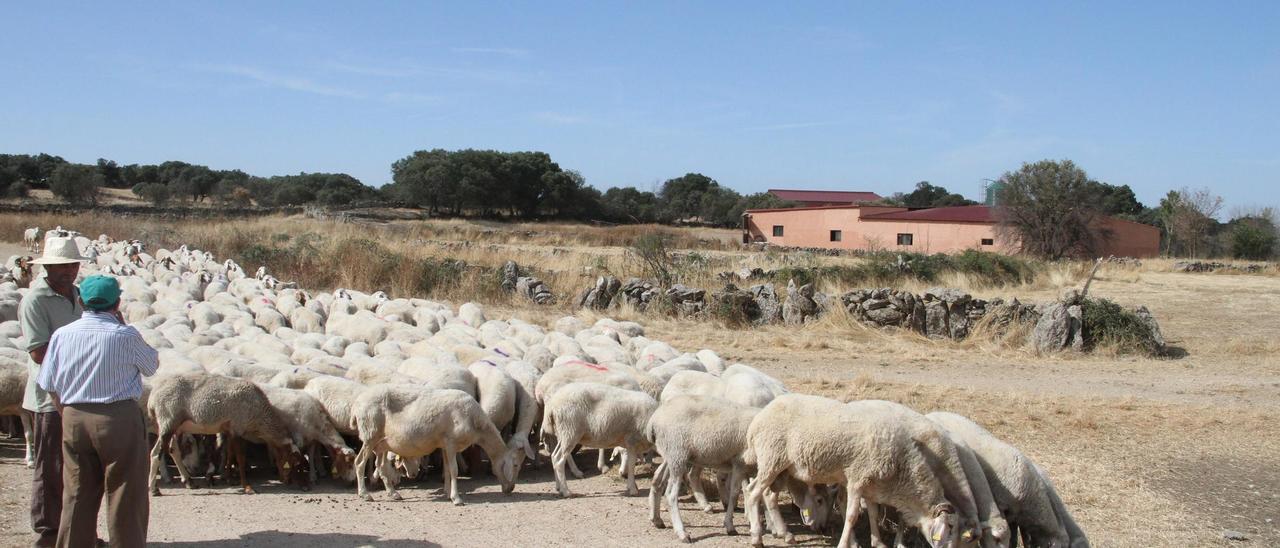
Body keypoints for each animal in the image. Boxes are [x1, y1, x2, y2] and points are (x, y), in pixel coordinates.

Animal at [147, 373, 304, 495]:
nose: (301, 486)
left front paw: (229, 478)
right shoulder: (238, 428)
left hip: (175, 426)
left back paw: (189, 482)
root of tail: (153, 397)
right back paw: (154, 489)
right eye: (293, 462)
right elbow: (240, 457)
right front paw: (247, 487)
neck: (260, 416)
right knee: (156, 453)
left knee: (173, 451)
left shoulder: (229, 430)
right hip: (167, 421)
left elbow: (229, 453)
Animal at [351, 385, 521, 504]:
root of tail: (357, 403)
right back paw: (365, 494)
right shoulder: (451, 443)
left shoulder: (444, 445)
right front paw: (456, 498)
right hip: (370, 434)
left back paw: (393, 494)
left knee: (381, 466)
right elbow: (454, 470)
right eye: (515, 465)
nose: (510, 489)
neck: (477, 424)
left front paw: (447, 493)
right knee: (359, 462)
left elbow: (447, 470)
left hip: (382, 442)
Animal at [742, 394, 978, 548]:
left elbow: (873, 512)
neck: (902, 467)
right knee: (753, 493)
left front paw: (877, 542)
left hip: (782, 468)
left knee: (767, 494)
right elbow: (852, 516)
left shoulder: (872, 486)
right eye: (949, 529)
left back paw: (784, 534)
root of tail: (758, 419)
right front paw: (845, 544)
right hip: (772, 459)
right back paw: (756, 537)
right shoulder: (857, 479)